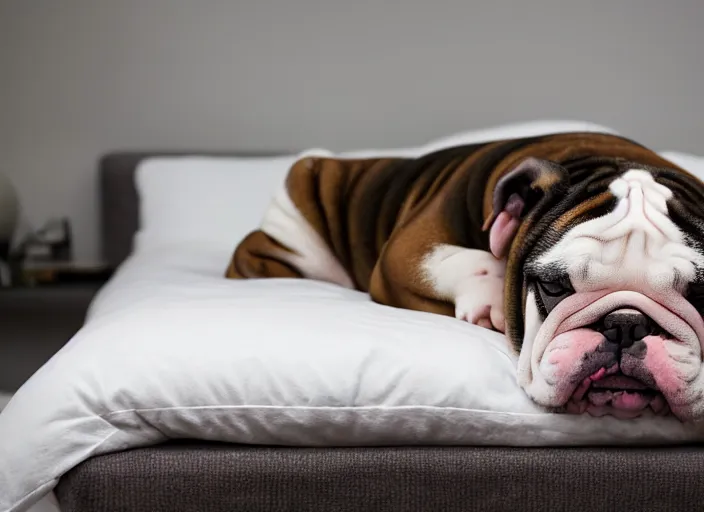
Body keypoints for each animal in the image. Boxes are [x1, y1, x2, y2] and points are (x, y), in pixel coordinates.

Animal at [224, 133, 704, 424]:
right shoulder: (409, 249)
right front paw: (491, 297)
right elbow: (470, 261)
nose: (625, 323)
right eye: (554, 287)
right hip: (299, 226)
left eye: (700, 294)